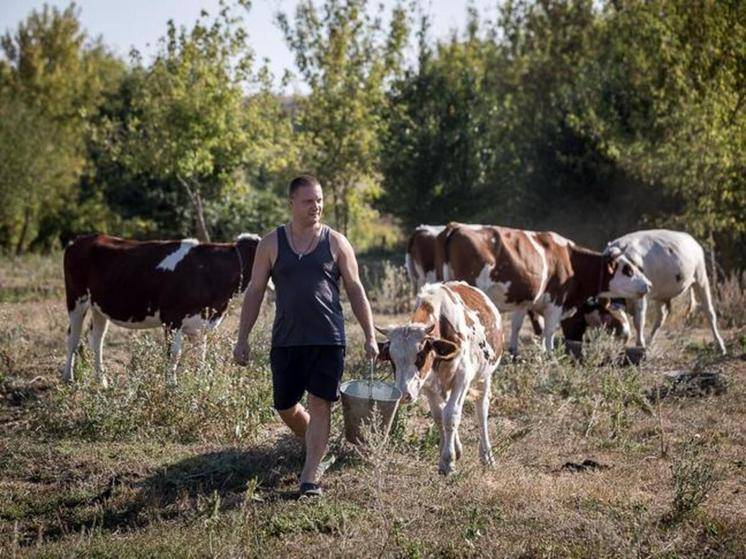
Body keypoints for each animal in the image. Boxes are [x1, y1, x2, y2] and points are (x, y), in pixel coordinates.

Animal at [61, 232, 258, 384]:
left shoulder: (201, 323)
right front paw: (171, 387)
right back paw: (68, 378)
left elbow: (200, 355)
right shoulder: (172, 319)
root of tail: (81, 239)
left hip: (99, 306)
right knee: (73, 336)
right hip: (76, 298)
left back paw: (101, 381)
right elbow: (174, 355)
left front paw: (201, 385)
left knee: (97, 339)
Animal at [374, 282, 502, 474]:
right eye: (391, 359)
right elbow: (439, 416)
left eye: (420, 356)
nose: (404, 395)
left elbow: (451, 415)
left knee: (481, 411)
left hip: (484, 376)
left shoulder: (462, 378)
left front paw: (448, 461)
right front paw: (448, 454)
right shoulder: (427, 386)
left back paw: (487, 456)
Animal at [434, 224, 648, 352]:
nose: (648, 285)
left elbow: (517, 326)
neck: (571, 261)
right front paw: (549, 354)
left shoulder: (523, 302)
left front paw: (514, 352)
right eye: (628, 269)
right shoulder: (556, 302)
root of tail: (457, 226)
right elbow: (549, 331)